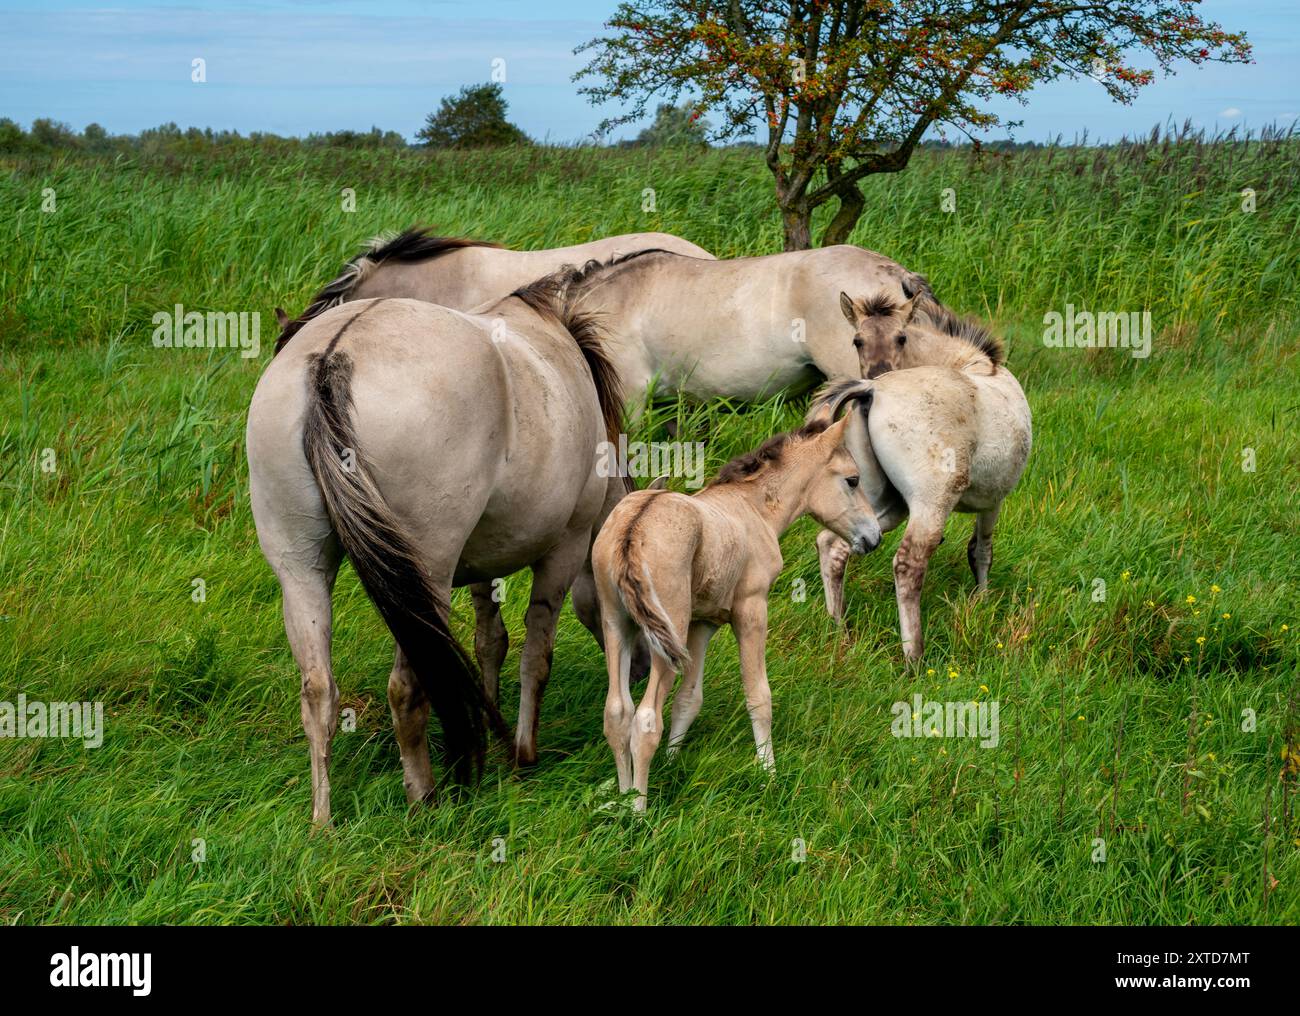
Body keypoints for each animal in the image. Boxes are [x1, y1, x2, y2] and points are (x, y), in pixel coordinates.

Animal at [246, 268, 625, 824]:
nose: (639, 669)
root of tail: (333, 357)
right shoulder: (565, 550)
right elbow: (536, 654)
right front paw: (522, 753)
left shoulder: (483, 560)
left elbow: (491, 641)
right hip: (428, 574)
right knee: (407, 687)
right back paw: (423, 796)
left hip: (301, 571)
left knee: (317, 689)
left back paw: (323, 821)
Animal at [592, 411, 882, 811]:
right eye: (853, 480)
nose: (874, 537)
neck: (753, 508)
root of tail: (632, 530)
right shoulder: (751, 609)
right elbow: (759, 695)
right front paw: (769, 774)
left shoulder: (702, 624)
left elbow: (688, 699)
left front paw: (673, 761)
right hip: (666, 634)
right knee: (645, 719)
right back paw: (637, 810)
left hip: (618, 624)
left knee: (617, 713)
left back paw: (622, 798)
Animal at [810, 293, 1032, 660]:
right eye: (858, 341)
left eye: (901, 338)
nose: (878, 370)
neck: (971, 366)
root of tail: (872, 390)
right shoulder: (994, 501)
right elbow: (982, 550)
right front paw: (982, 601)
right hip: (929, 505)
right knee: (907, 565)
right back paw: (913, 656)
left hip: (880, 505)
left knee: (832, 546)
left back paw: (838, 629)